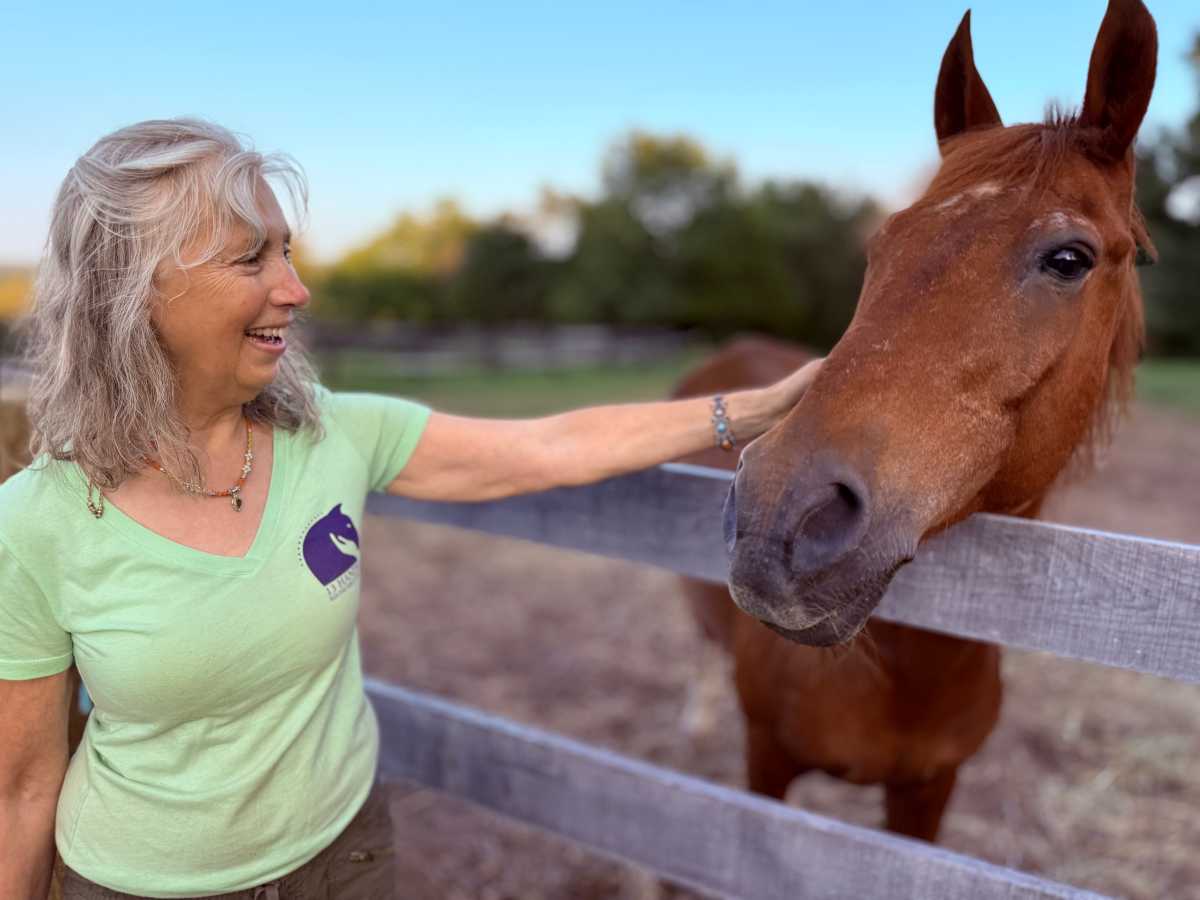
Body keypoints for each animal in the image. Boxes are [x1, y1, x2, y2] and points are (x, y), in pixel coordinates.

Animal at [674, 0, 1157, 842]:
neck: (907, 672)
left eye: (1069, 260)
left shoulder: (928, 793)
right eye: (882, 245)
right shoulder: (766, 762)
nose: (778, 519)